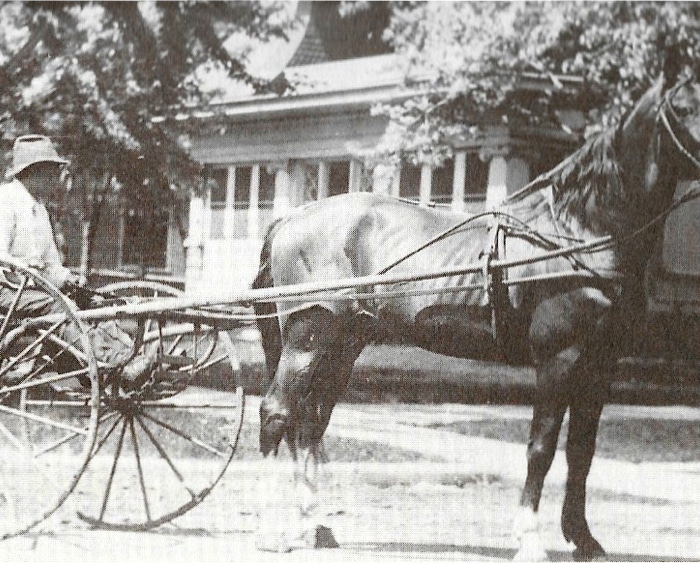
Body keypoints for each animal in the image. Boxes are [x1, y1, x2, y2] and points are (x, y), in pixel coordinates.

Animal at [252, 57, 700, 560]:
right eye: (684, 106)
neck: (578, 231)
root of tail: (291, 217)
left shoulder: (600, 365)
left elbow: (581, 451)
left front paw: (583, 538)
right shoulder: (559, 361)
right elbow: (541, 447)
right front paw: (529, 538)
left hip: (342, 347)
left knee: (311, 421)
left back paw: (315, 526)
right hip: (307, 340)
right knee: (276, 412)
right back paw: (276, 529)